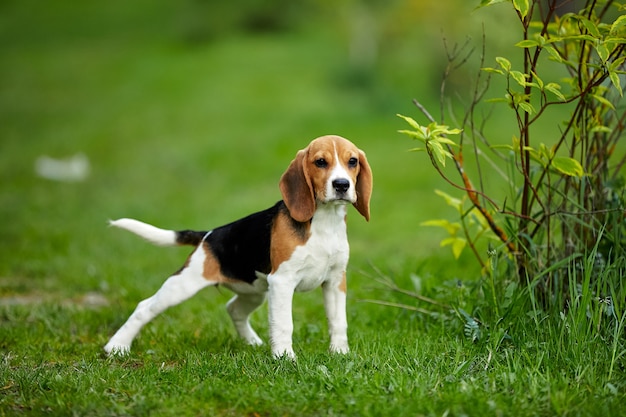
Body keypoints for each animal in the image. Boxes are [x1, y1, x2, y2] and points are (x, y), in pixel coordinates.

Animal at [103, 135, 370, 356]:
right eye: (320, 162)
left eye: (352, 161)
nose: (342, 185)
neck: (325, 221)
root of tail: (208, 235)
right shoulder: (282, 282)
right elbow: (284, 324)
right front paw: (285, 358)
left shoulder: (335, 281)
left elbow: (338, 321)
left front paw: (340, 354)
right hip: (184, 284)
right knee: (144, 307)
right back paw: (117, 346)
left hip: (255, 291)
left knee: (234, 309)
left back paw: (252, 342)